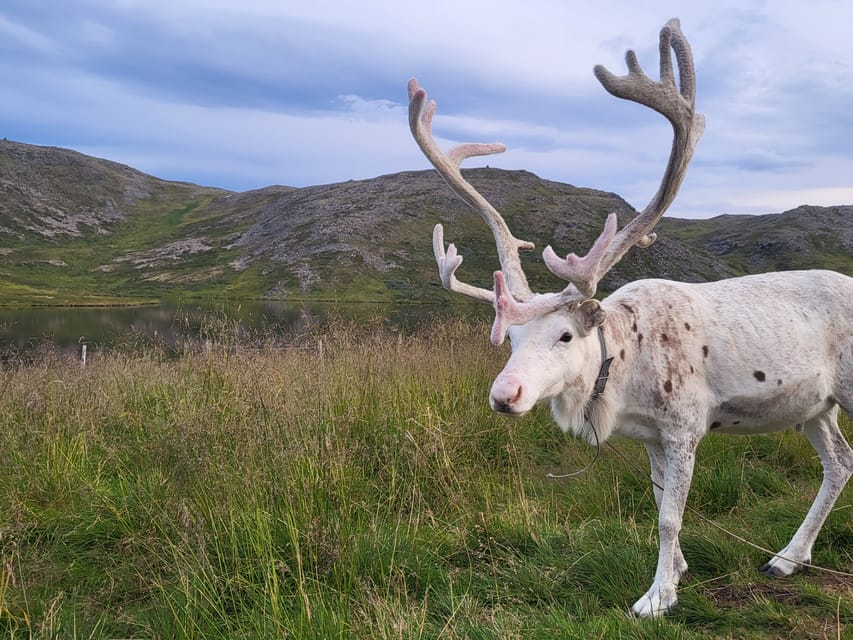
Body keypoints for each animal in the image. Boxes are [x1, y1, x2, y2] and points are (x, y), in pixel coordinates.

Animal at [407, 18, 853, 617]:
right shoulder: (649, 437)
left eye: (565, 335)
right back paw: (787, 557)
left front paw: (657, 596)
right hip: (813, 404)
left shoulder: (686, 426)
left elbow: (668, 518)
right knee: (840, 460)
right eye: (510, 337)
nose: (504, 395)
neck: (621, 371)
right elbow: (659, 503)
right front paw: (678, 572)